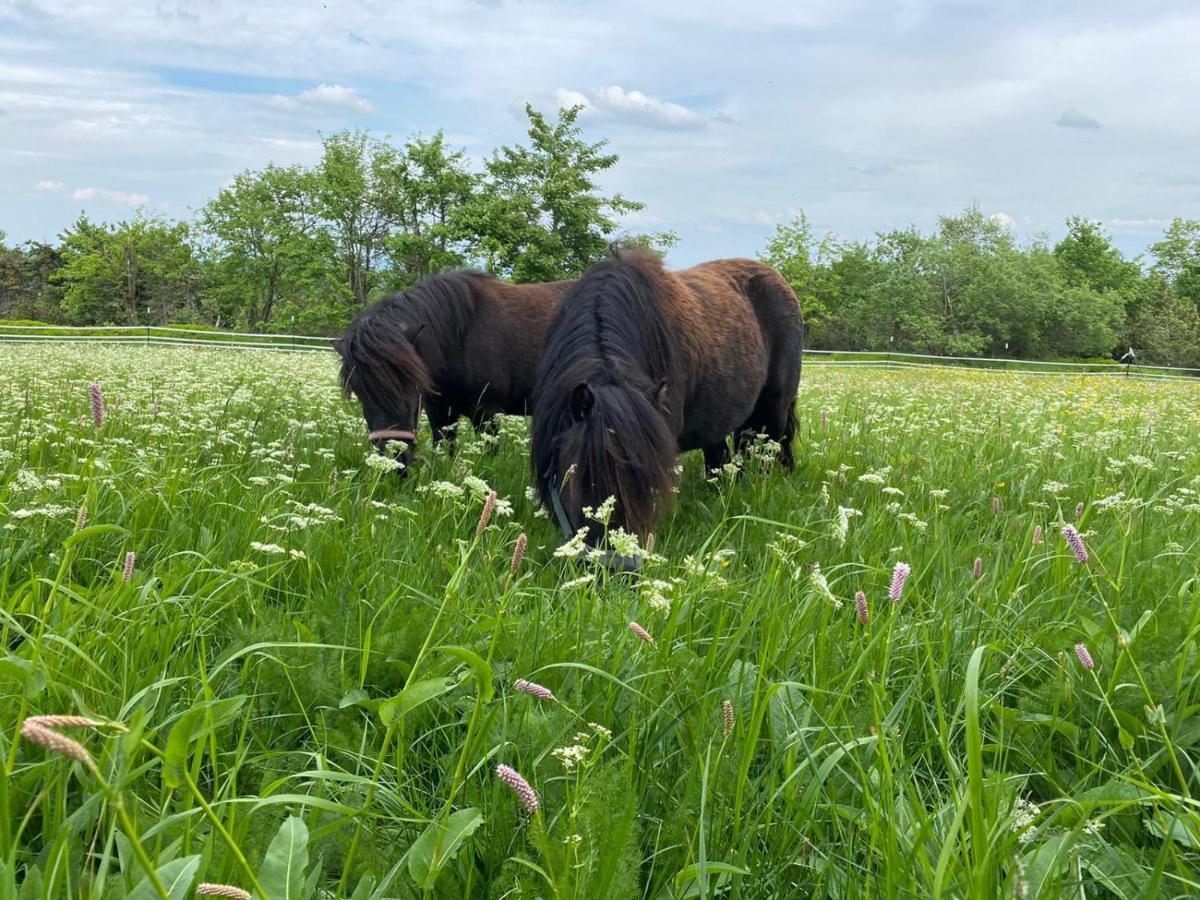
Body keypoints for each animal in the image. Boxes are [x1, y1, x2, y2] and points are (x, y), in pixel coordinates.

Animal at [331, 270, 568, 468]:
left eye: (409, 390)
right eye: (360, 394)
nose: (396, 463)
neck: (459, 337)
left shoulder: (487, 413)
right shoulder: (439, 410)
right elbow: (444, 447)